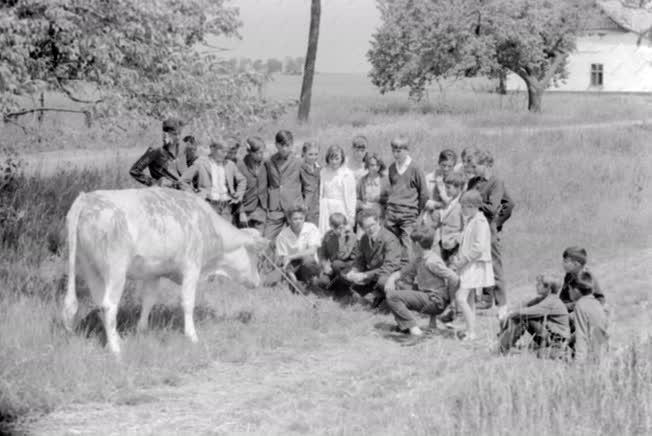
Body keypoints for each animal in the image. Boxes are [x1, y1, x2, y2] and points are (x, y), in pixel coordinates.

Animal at [61, 186, 264, 354]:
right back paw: (115, 348)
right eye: (255, 255)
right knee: (109, 305)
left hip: (91, 269)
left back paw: (116, 339)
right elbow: (187, 302)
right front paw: (192, 336)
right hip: (116, 270)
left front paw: (142, 329)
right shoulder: (192, 267)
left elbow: (148, 301)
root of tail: (87, 198)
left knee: (99, 303)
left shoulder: (153, 273)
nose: (258, 281)